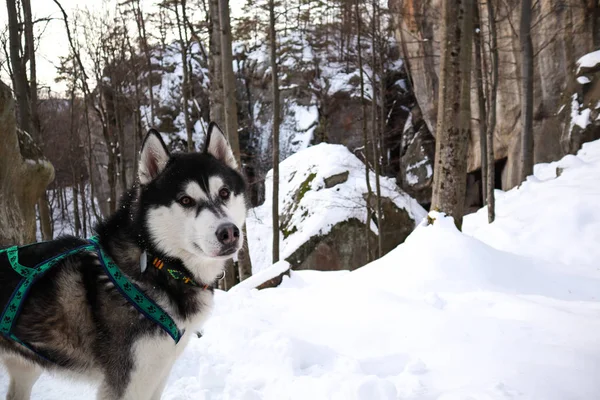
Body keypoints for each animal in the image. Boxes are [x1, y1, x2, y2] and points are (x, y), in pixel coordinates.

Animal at [0, 123, 247, 398]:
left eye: (224, 193)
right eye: (185, 200)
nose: (229, 232)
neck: (157, 263)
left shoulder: (157, 374)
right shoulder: (129, 383)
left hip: (26, 370)